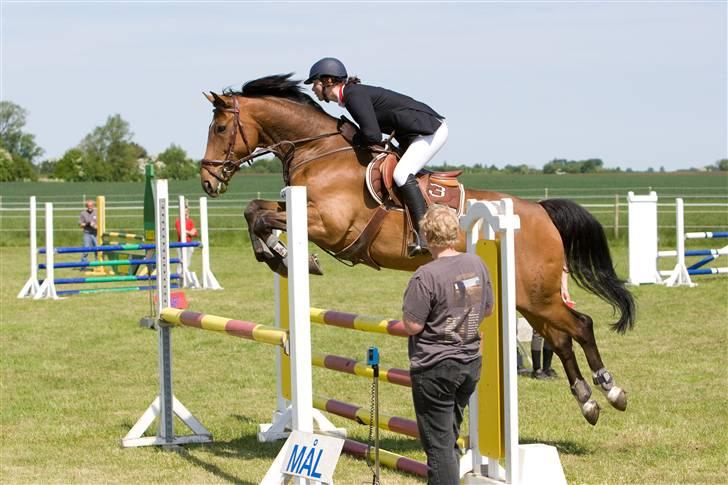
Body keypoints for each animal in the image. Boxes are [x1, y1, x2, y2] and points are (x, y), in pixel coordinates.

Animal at [200, 73, 636, 426]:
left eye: (220, 127)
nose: (207, 181)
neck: (320, 151)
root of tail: (540, 211)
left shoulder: (329, 224)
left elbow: (262, 216)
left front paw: (293, 257)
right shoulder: (300, 209)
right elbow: (254, 210)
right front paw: (280, 255)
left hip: (538, 293)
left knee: (581, 325)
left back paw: (611, 391)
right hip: (528, 297)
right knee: (561, 338)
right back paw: (588, 402)